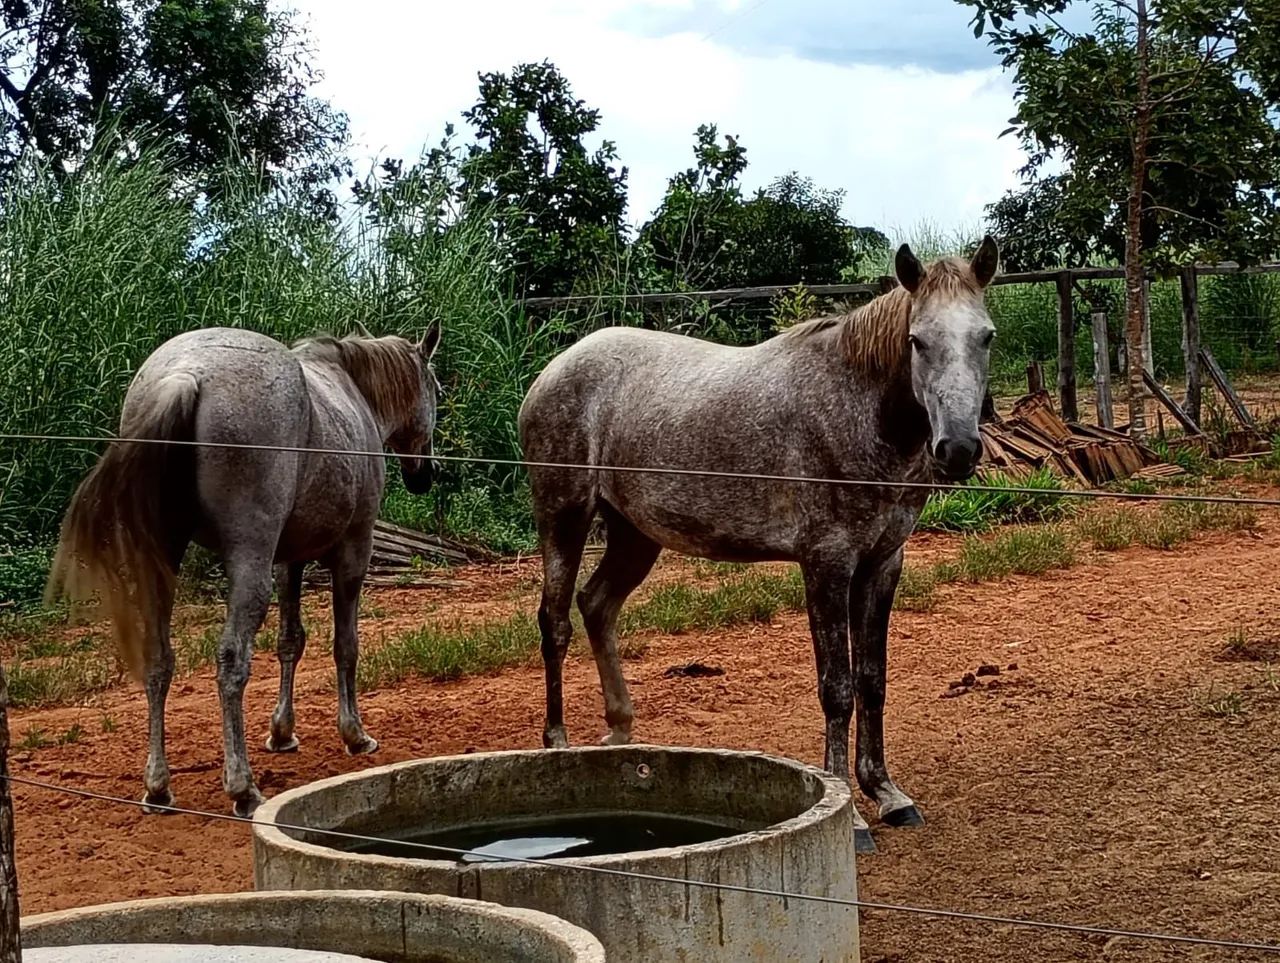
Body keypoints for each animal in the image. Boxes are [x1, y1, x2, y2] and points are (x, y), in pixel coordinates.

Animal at [46, 323, 442, 816]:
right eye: (437, 389)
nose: (425, 474)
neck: (351, 391)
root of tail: (186, 375)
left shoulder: (291, 559)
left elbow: (290, 641)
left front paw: (282, 732)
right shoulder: (353, 551)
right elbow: (345, 645)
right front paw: (354, 734)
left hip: (165, 564)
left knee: (158, 661)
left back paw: (158, 788)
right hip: (250, 569)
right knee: (232, 662)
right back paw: (243, 787)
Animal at [519, 238, 999, 853]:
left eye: (985, 336)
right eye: (917, 340)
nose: (958, 449)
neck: (854, 407)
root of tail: (554, 370)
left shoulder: (882, 564)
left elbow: (873, 681)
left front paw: (887, 793)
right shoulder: (827, 564)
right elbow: (837, 688)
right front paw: (853, 817)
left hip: (635, 533)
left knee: (596, 606)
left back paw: (621, 732)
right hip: (564, 516)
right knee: (555, 622)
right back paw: (556, 745)